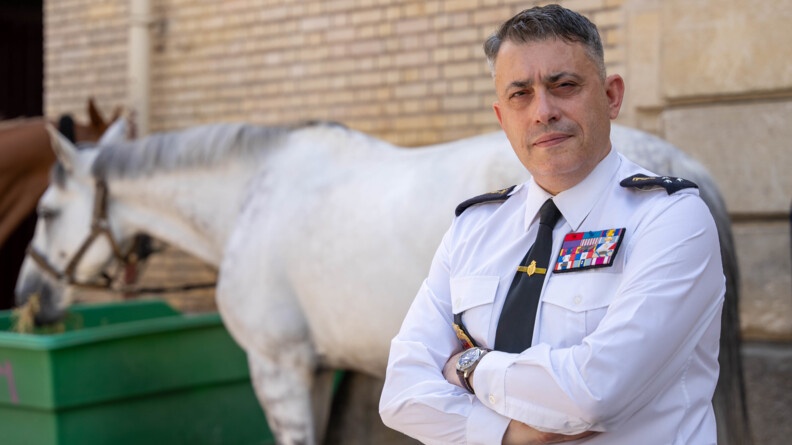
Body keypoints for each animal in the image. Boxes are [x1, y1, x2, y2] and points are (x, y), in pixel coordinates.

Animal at [17, 121, 748, 444]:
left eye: (47, 213)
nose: (28, 296)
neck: (251, 197)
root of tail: (675, 166)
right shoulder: (320, 371)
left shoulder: (278, 368)